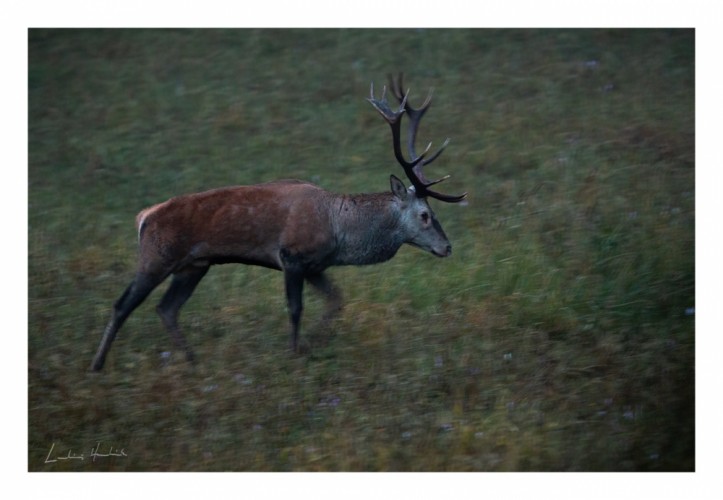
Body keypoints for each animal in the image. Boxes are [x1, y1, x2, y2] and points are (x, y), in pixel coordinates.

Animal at [90, 75, 466, 372]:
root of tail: (144, 217)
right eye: (425, 215)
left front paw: (313, 343)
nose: (447, 247)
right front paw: (294, 353)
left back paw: (192, 360)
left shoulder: (316, 265)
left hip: (194, 265)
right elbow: (295, 308)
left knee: (166, 309)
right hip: (157, 256)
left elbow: (337, 301)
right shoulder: (292, 256)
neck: (340, 231)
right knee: (123, 304)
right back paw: (97, 365)